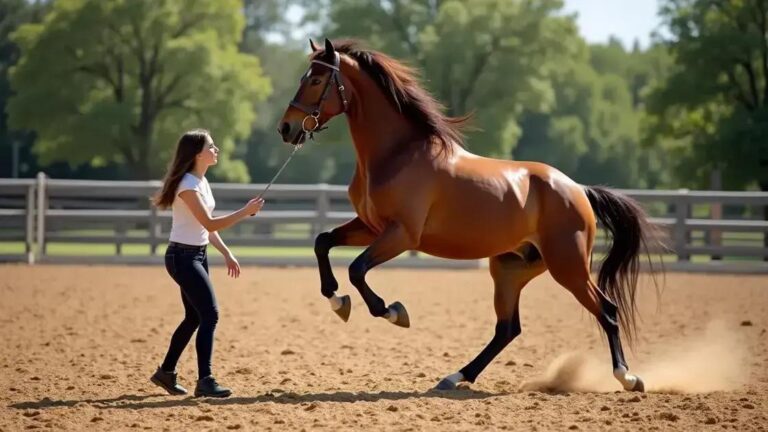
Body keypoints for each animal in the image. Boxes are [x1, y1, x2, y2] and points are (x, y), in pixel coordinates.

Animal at [277, 38, 661, 392]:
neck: (397, 154)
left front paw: (392, 311)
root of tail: (577, 189)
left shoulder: (401, 234)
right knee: (508, 328)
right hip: (511, 268)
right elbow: (322, 242)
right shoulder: (370, 227)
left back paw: (628, 378)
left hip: (568, 266)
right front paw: (336, 300)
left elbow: (357, 269)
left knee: (607, 311)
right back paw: (455, 377)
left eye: (316, 79)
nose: (286, 128)